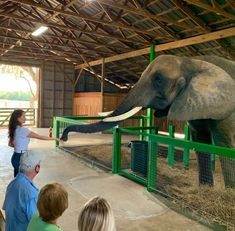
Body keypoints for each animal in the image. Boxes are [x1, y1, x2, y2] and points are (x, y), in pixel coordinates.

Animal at [61, 55, 235, 188]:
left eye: (158, 79)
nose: (63, 138)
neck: (192, 62)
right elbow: (201, 144)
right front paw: (206, 189)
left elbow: (225, 147)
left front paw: (228, 193)